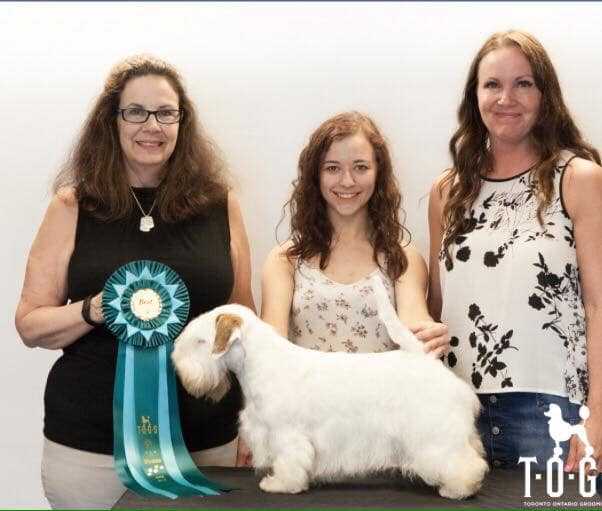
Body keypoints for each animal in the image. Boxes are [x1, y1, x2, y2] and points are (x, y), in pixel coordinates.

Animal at [170, 278, 488, 498]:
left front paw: (280, 484)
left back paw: (459, 488)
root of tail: (424, 358)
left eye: (200, 341)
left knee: (462, 460)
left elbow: (288, 461)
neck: (261, 362)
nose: (176, 363)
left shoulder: (286, 433)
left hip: (435, 433)